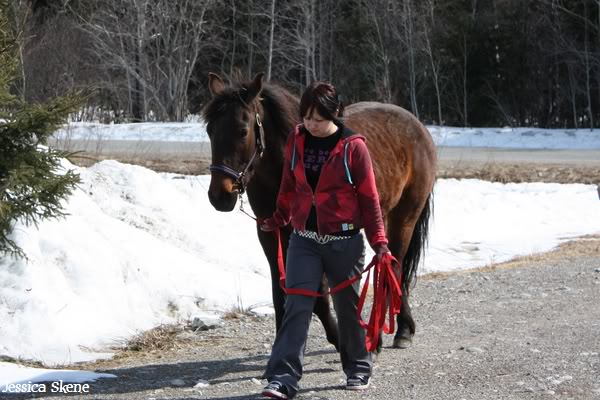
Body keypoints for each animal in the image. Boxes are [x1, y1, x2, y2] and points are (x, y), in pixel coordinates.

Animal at [203, 72, 436, 350]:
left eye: (243, 130)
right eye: (209, 130)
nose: (219, 196)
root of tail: (418, 127)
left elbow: (317, 295)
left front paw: (339, 339)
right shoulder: (270, 234)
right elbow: (280, 292)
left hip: (405, 216)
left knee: (394, 267)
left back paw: (389, 332)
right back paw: (401, 328)